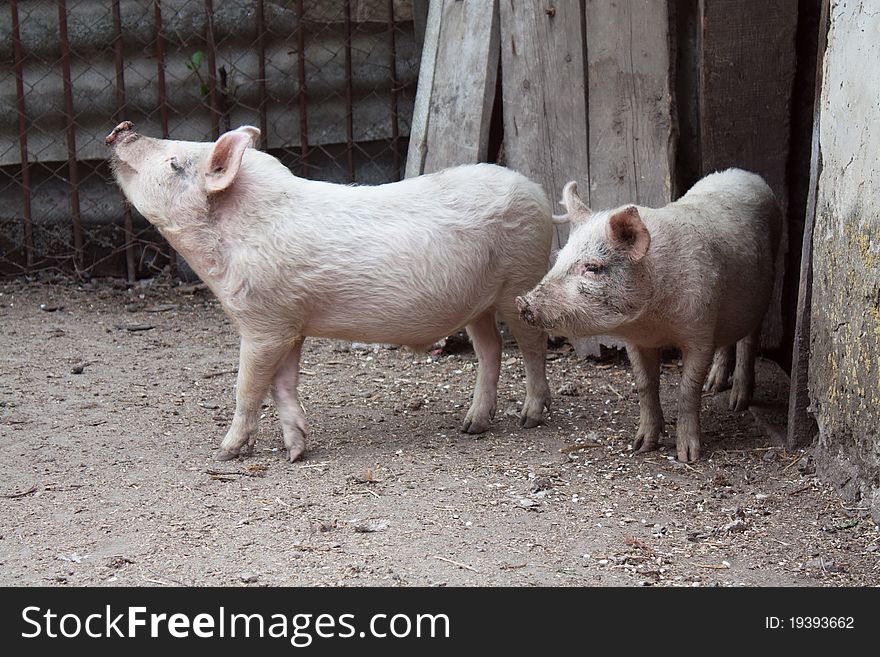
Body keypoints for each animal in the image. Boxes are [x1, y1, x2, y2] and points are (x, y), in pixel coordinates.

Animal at [106, 121, 552, 462]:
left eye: (174, 163)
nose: (122, 127)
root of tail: (536, 190)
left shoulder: (265, 323)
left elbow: (247, 387)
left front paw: (223, 453)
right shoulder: (289, 324)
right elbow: (282, 386)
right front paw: (295, 452)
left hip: (521, 280)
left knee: (532, 345)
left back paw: (530, 417)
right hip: (479, 302)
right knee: (491, 348)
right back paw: (471, 426)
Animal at [516, 172, 784, 464]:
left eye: (592, 268)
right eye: (559, 259)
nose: (522, 302)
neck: (654, 322)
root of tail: (745, 173)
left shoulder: (700, 332)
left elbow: (688, 390)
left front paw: (688, 456)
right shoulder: (637, 342)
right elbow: (645, 386)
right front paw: (640, 446)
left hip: (762, 295)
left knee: (749, 341)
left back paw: (737, 403)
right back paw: (714, 386)